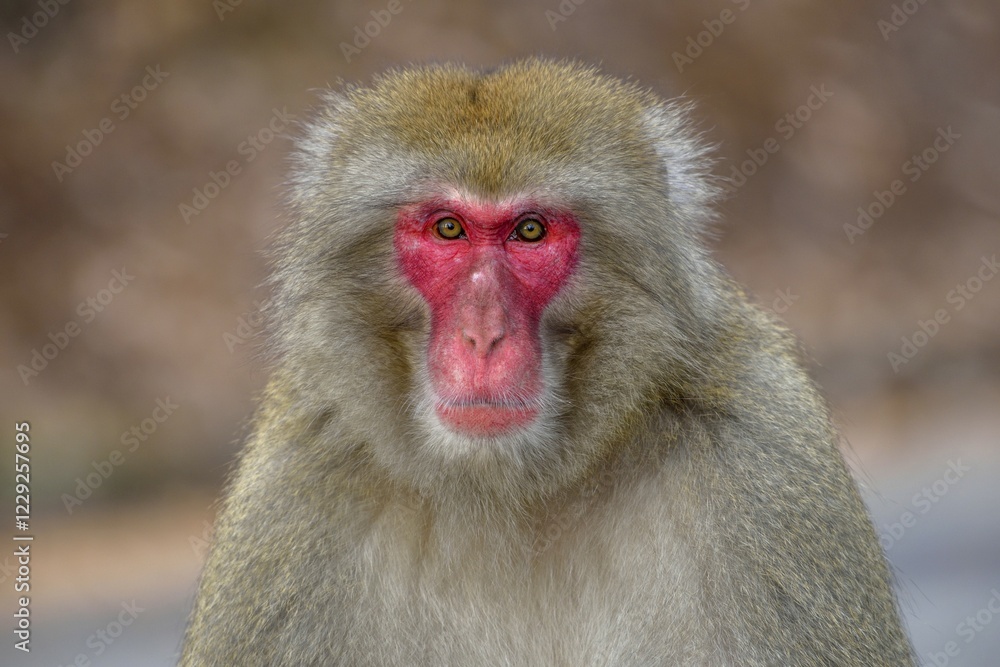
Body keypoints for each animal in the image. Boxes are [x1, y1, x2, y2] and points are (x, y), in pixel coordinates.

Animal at [180, 59, 914, 666]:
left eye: (529, 231)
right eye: (448, 228)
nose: (483, 337)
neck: (509, 490)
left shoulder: (762, 457)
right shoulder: (296, 489)